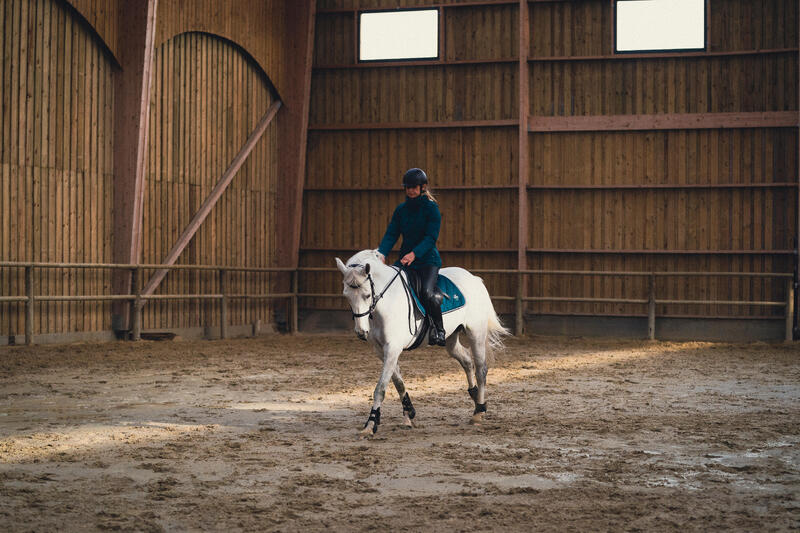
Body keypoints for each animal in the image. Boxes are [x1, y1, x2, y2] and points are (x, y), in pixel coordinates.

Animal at [334, 249, 510, 436]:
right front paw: (409, 414)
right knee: (467, 361)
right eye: (347, 296)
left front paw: (371, 423)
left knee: (481, 369)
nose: (361, 332)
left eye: (367, 295)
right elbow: (398, 382)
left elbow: (381, 388)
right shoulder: (381, 350)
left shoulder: (392, 348)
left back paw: (479, 412)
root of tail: (474, 278)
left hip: (476, 333)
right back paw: (475, 396)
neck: (386, 302)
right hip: (451, 338)